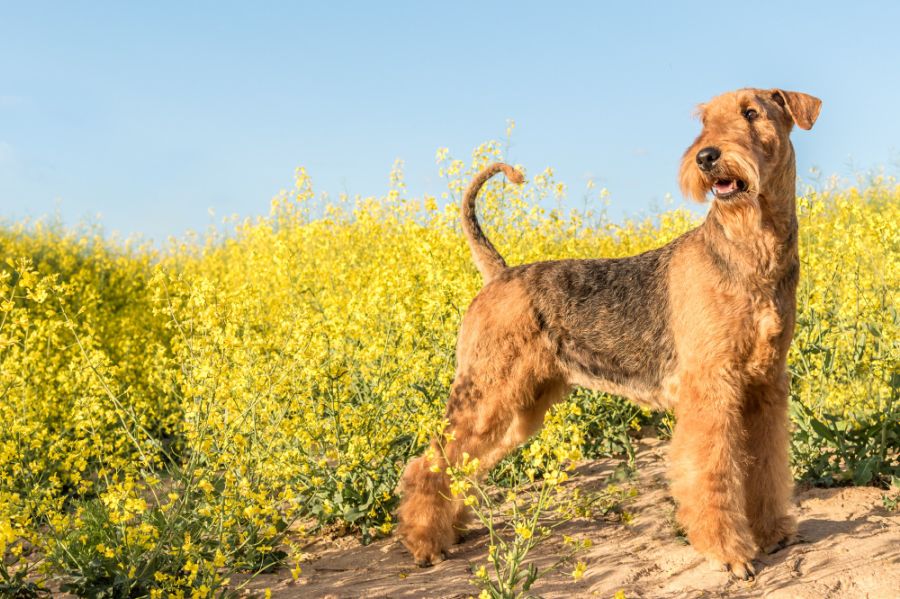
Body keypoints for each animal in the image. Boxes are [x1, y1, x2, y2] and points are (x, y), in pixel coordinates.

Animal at [398, 89, 820, 580]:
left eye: (751, 113)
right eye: (704, 122)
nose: (706, 157)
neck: (751, 248)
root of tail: (498, 274)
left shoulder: (764, 385)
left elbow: (766, 468)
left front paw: (773, 534)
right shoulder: (711, 389)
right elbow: (712, 473)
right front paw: (730, 554)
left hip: (520, 406)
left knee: (464, 463)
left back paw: (454, 528)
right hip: (486, 394)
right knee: (428, 463)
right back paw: (425, 544)